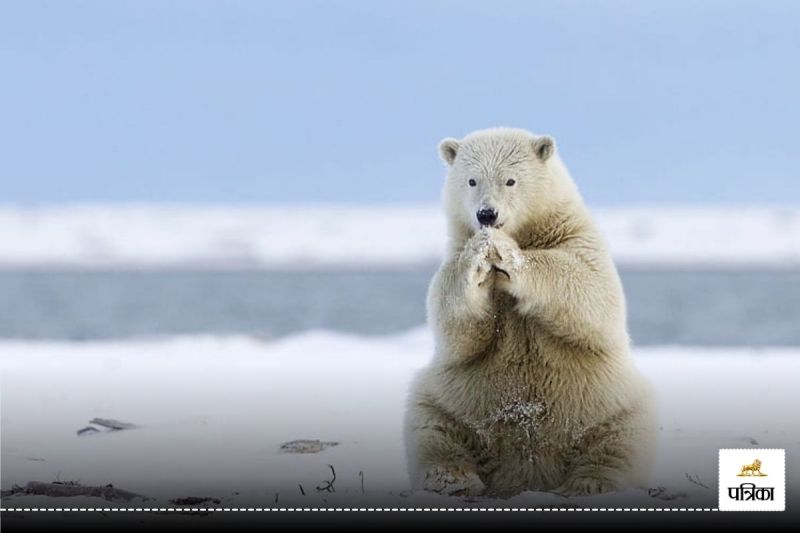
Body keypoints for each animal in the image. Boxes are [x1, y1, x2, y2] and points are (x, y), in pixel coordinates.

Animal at [404, 127, 656, 498]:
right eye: (471, 180)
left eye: (510, 180)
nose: (487, 214)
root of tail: (527, 474)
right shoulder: (453, 253)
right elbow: (453, 324)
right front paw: (480, 254)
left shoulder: (576, 238)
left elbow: (590, 288)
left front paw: (507, 253)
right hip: (454, 398)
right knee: (434, 428)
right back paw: (453, 478)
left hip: (609, 401)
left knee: (621, 438)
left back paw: (591, 481)